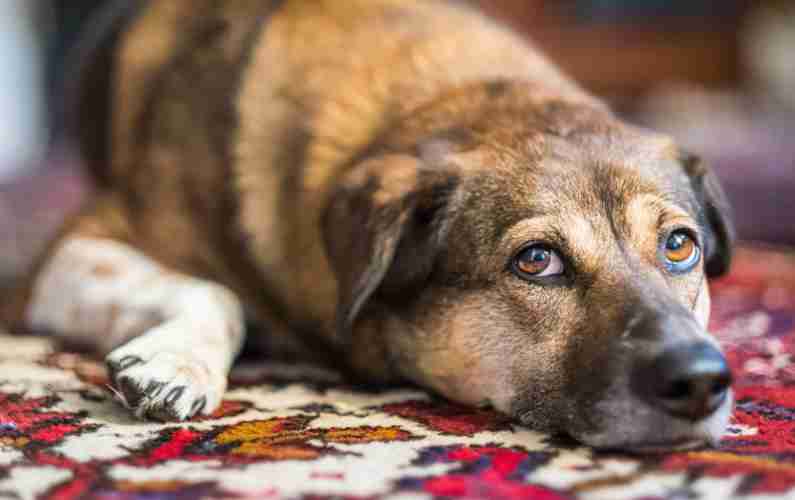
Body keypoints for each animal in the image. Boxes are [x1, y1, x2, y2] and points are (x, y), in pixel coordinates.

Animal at [0, 0, 736, 452]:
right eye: (535, 260)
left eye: (679, 246)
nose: (701, 380)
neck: (449, 103)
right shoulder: (72, 249)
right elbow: (217, 290)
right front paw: (175, 363)